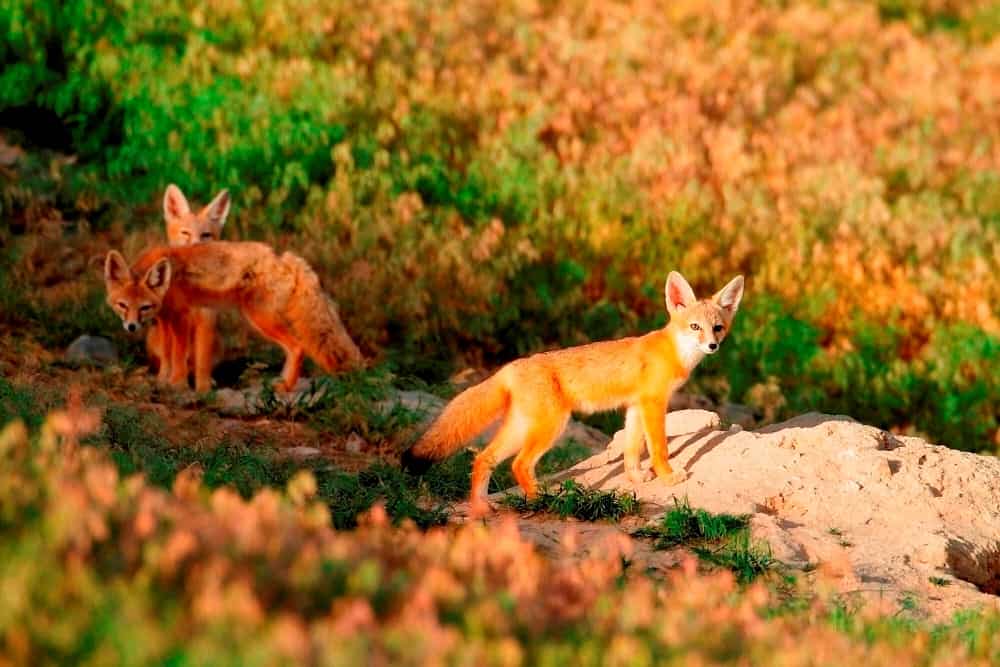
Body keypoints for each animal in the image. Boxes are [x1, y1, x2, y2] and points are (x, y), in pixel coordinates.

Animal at [104, 240, 364, 392]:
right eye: (122, 305)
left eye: (144, 307)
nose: (131, 327)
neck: (167, 286)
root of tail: (283, 259)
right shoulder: (166, 320)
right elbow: (167, 356)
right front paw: (161, 382)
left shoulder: (181, 318)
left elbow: (178, 356)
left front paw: (176, 385)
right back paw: (282, 383)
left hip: (259, 319)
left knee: (298, 347)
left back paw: (285, 387)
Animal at [145, 183, 230, 392]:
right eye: (185, 233)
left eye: (205, 235)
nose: (196, 247)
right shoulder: (177, 318)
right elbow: (176, 356)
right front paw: (177, 384)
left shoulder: (207, 318)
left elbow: (202, 362)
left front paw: (203, 389)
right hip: (158, 332)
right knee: (166, 358)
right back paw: (164, 379)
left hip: (219, 342)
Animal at [404, 272, 744, 516]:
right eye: (695, 327)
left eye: (718, 328)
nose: (712, 346)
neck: (673, 352)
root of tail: (510, 367)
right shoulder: (653, 403)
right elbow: (659, 448)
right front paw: (668, 476)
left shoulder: (636, 406)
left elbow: (632, 450)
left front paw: (635, 478)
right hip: (552, 427)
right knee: (519, 464)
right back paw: (540, 500)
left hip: (522, 428)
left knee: (484, 458)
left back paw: (480, 507)